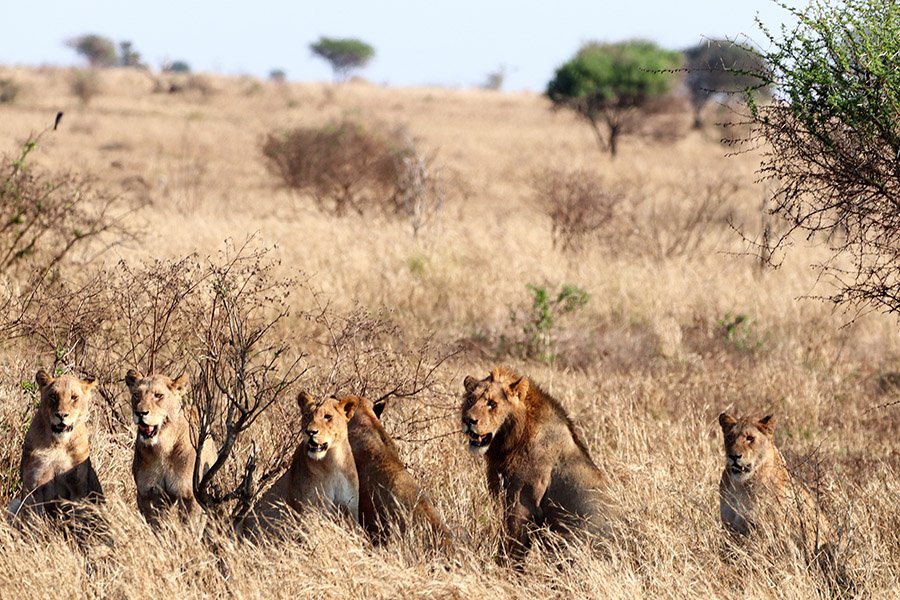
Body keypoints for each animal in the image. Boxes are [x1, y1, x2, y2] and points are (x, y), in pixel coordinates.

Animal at [9, 368, 103, 516]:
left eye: (74, 397)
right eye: (53, 396)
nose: (61, 415)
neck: (59, 444)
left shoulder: (78, 487)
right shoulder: (33, 485)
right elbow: (33, 516)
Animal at [126, 366, 216, 524]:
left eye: (158, 395)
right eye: (136, 395)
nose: (140, 413)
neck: (162, 449)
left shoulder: (190, 496)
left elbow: (191, 527)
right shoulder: (147, 493)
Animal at [248, 392, 360, 532]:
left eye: (327, 416)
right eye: (307, 415)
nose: (310, 432)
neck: (332, 463)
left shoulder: (350, 508)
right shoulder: (311, 511)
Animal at [460, 366, 616, 568]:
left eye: (492, 404)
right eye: (471, 399)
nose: (468, 420)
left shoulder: (522, 504)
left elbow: (512, 545)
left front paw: (503, 569)